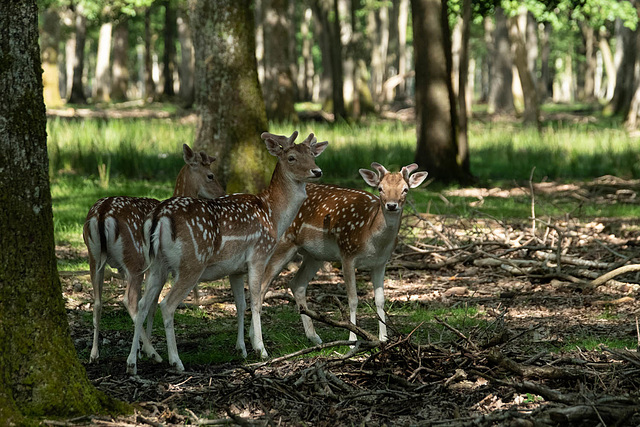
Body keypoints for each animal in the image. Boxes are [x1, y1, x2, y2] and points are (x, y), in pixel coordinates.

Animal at [84, 144, 225, 364]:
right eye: (210, 175)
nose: (222, 193)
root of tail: (101, 214)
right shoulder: (158, 267)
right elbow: (151, 305)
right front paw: (144, 349)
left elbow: (148, 304)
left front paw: (140, 348)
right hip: (134, 260)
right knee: (129, 300)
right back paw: (154, 353)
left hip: (93, 256)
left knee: (97, 302)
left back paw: (94, 353)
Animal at [125, 131, 328, 374]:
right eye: (291, 157)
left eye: (311, 154)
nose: (317, 171)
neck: (274, 216)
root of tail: (158, 217)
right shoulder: (259, 254)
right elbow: (256, 300)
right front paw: (261, 349)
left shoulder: (236, 269)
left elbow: (240, 304)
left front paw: (241, 349)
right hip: (191, 263)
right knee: (166, 304)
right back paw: (176, 361)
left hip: (157, 265)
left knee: (143, 304)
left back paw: (133, 363)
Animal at [258, 162, 428, 346]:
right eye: (380, 188)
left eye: (405, 189)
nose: (391, 205)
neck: (372, 238)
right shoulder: (347, 254)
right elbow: (353, 299)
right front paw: (353, 339)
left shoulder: (381, 263)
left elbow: (380, 300)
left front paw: (384, 338)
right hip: (284, 242)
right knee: (261, 286)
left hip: (315, 255)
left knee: (297, 284)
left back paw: (314, 337)